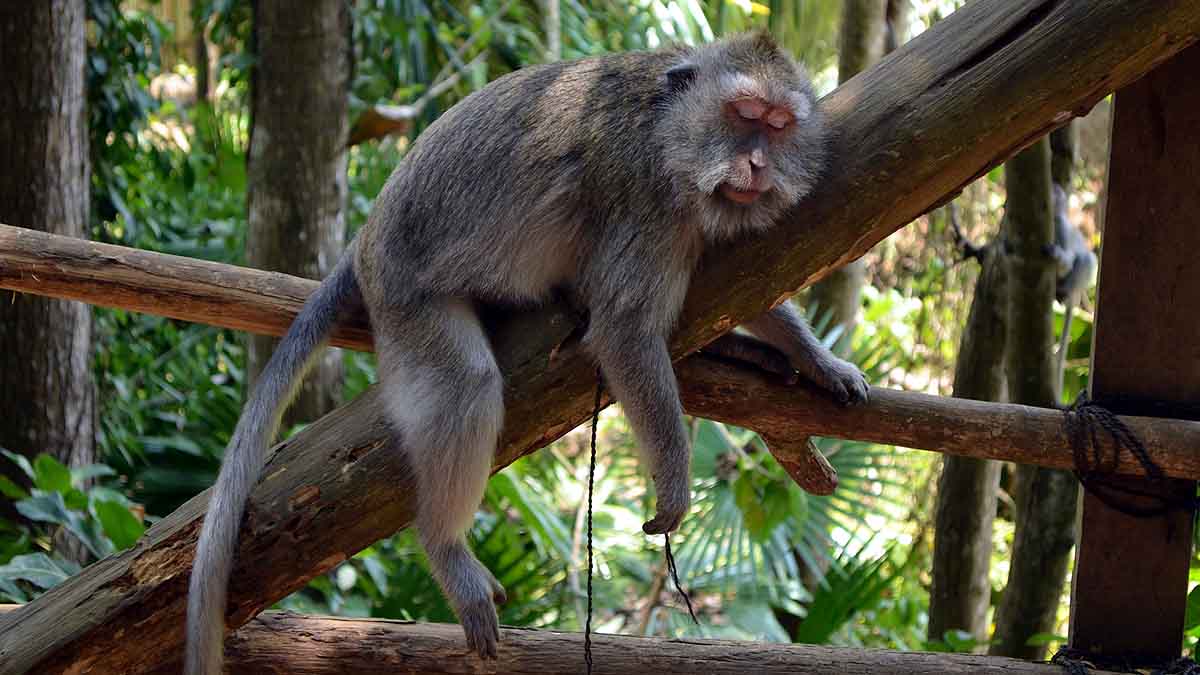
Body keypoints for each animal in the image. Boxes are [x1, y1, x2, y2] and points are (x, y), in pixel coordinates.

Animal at [186, 32, 869, 674]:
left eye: (778, 126)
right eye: (743, 113)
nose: (756, 162)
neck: (667, 128)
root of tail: (367, 240)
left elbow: (753, 286)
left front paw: (818, 359)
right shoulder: (644, 199)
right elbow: (624, 330)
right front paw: (674, 480)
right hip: (406, 297)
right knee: (464, 384)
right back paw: (444, 546)